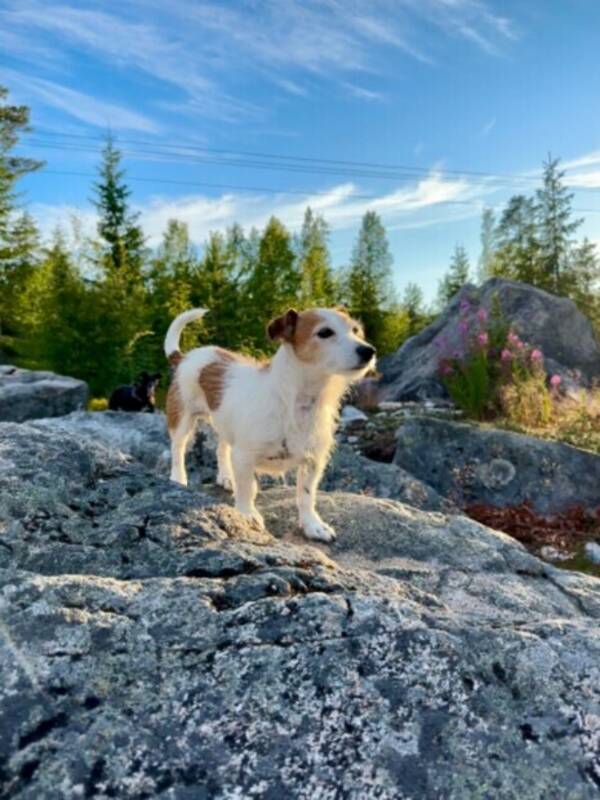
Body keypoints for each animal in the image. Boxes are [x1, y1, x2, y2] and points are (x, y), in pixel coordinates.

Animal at [164, 306, 376, 544]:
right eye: (325, 333)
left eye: (355, 330)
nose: (369, 351)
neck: (295, 402)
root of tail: (187, 356)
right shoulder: (244, 456)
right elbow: (247, 489)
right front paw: (247, 514)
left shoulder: (313, 461)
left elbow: (306, 494)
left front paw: (312, 524)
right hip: (181, 418)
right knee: (178, 449)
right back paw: (178, 479)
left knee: (221, 449)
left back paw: (226, 477)